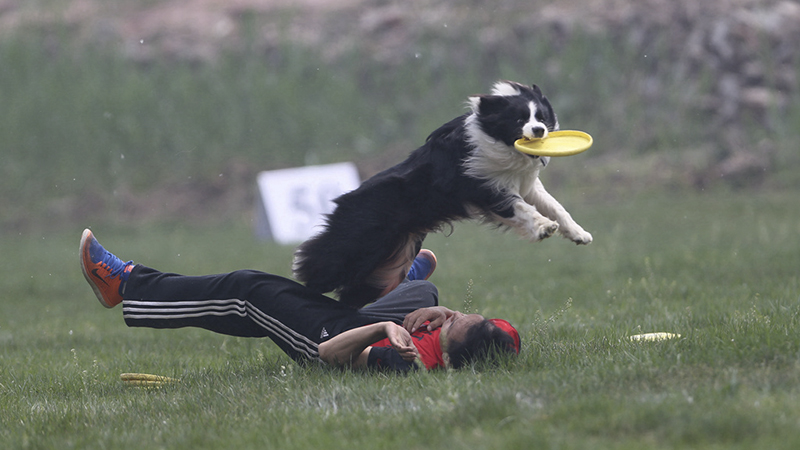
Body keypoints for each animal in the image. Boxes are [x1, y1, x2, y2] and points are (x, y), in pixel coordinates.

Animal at [294, 81, 592, 308]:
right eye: (520, 120)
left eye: (541, 117)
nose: (539, 131)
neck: (497, 140)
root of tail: (341, 202)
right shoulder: (483, 186)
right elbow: (521, 208)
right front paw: (544, 228)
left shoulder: (526, 184)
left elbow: (555, 206)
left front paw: (579, 234)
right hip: (359, 241)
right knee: (318, 267)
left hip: (387, 263)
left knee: (353, 292)